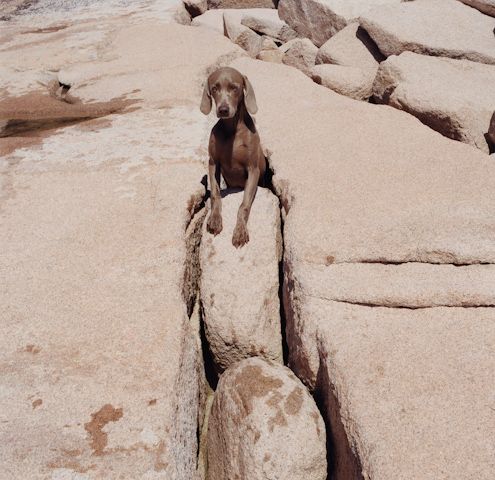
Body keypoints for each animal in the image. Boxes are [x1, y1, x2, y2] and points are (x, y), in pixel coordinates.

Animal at [200, 66, 268, 248]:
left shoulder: (253, 170)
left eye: (234, 88)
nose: (223, 110)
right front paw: (215, 219)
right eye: (214, 88)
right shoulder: (213, 163)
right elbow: (215, 194)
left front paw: (240, 231)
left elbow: (243, 205)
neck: (232, 131)